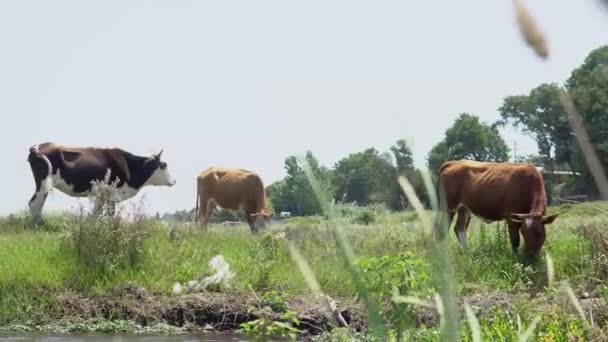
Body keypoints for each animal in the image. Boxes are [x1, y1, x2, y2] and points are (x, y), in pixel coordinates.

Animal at [27, 142, 177, 224]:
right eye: (164, 165)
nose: (174, 180)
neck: (128, 165)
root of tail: (38, 146)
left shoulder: (102, 195)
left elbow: (96, 213)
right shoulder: (112, 194)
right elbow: (110, 214)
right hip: (43, 183)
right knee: (34, 203)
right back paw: (36, 225)